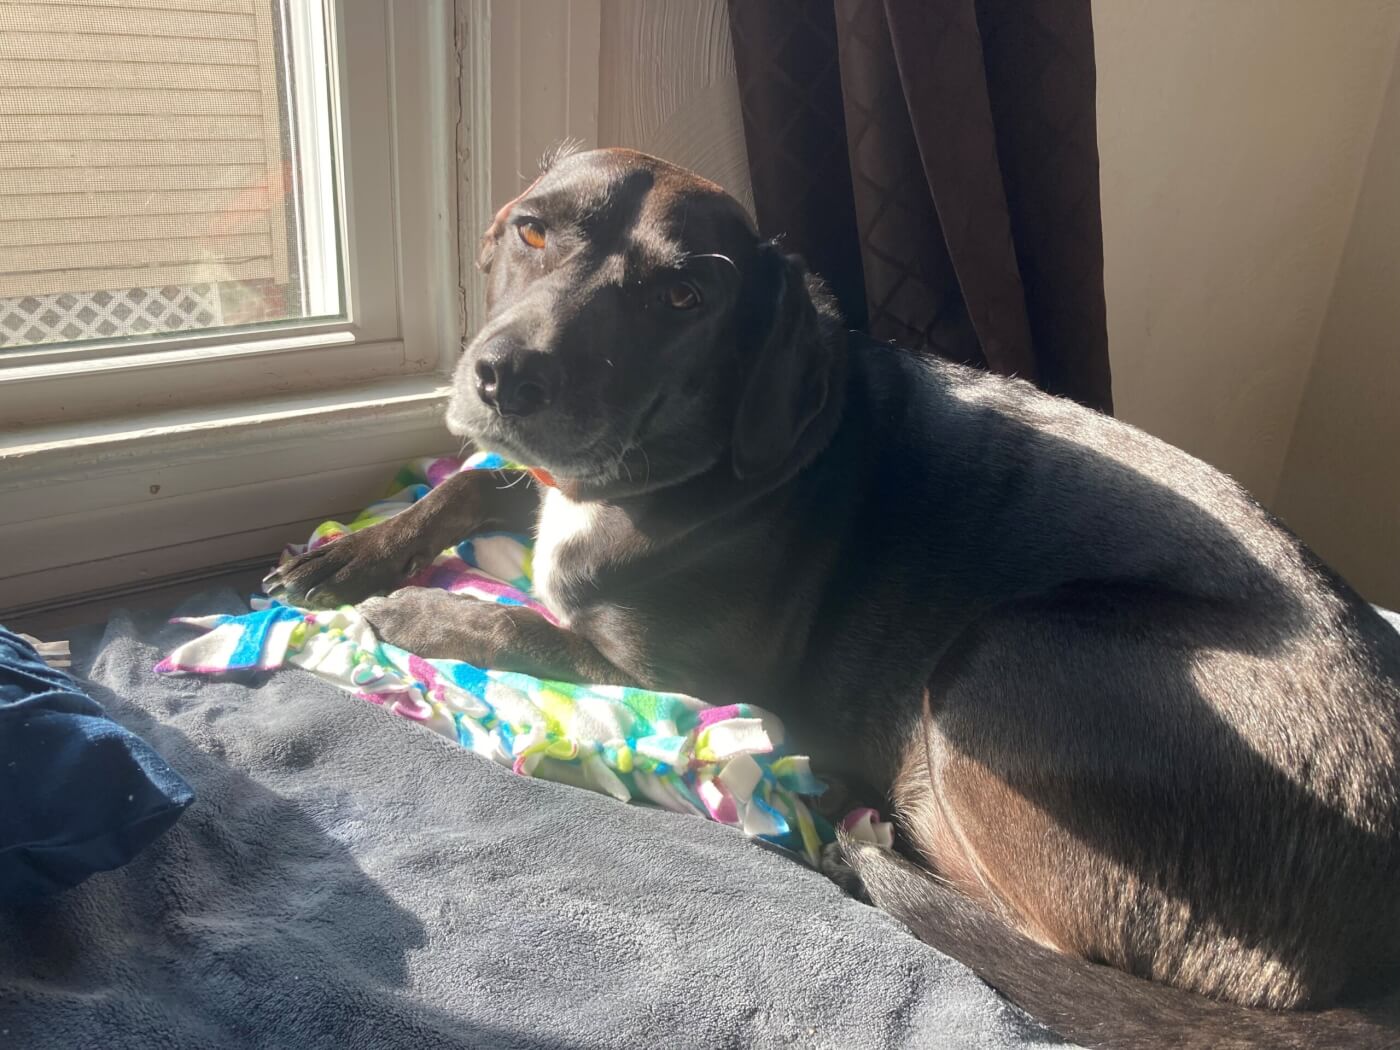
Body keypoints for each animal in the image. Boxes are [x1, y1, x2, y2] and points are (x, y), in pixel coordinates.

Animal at [264, 148, 1400, 1050]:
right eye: (531, 231)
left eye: (684, 298)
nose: (505, 378)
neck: (662, 468)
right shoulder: (532, 479)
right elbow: (469, 481)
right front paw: (350, 557)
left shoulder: (688, 678)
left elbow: (532, 625)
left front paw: (416, 615)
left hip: (1001, 660)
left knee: (1036, 945)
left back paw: (862, 843)